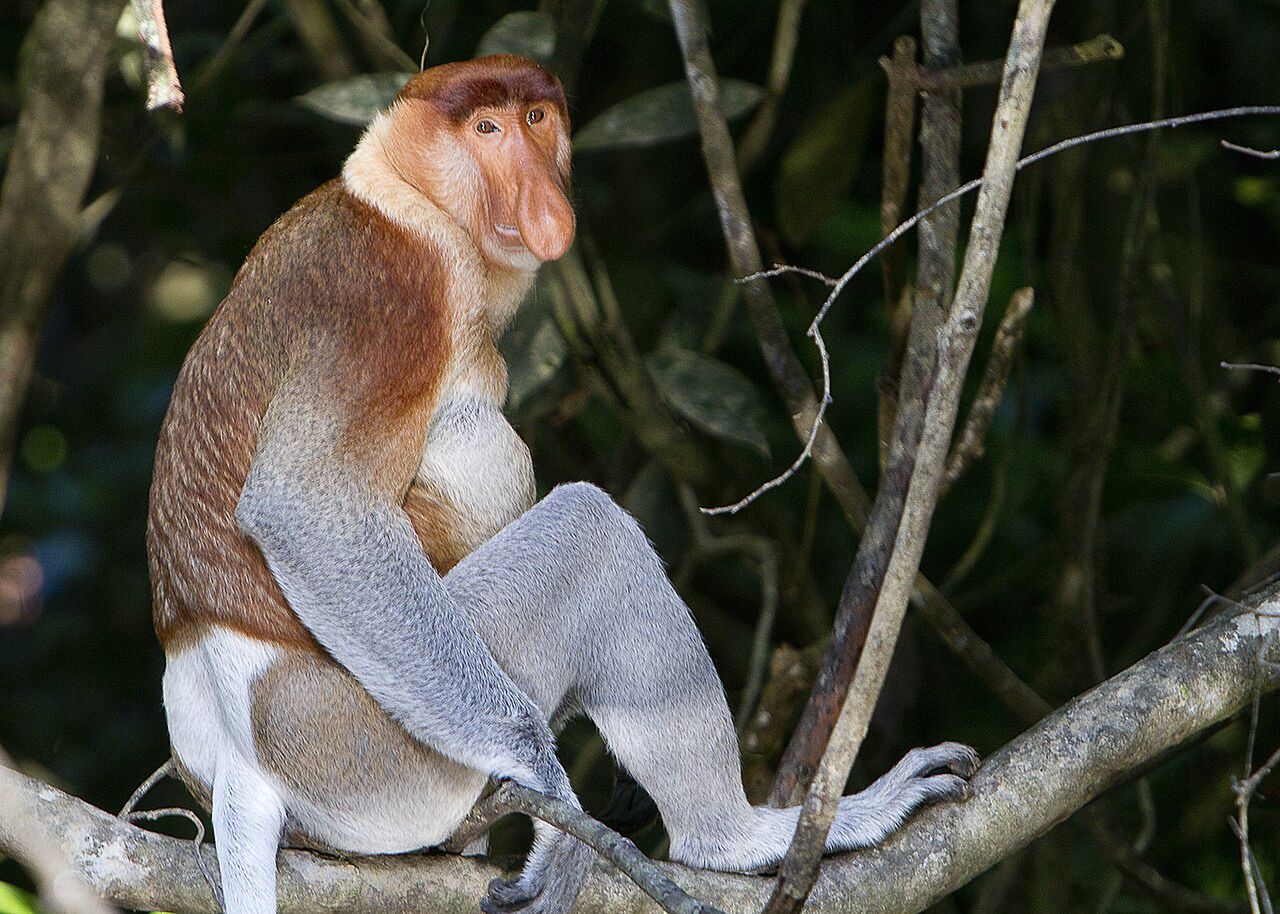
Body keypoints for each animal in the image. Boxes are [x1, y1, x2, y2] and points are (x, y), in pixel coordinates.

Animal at [145, 55, 972, 911]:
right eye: (486, 128)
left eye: (537, 119)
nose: (541, 194)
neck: (407, 197)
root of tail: (236, 763)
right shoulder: (388, 294)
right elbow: (303, 506)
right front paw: (544, 776)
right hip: (366, 745)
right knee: (589, 530)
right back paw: (732, 837)